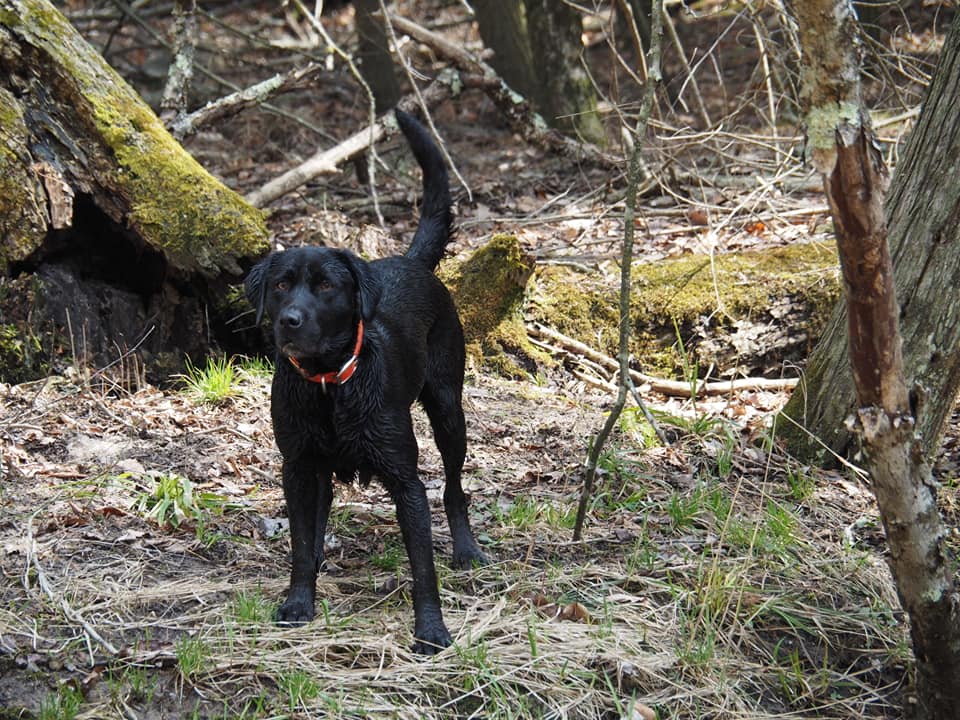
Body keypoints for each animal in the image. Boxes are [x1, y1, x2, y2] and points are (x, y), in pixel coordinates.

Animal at [248, 109, 488, 656]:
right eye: (280, 284)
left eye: (325, 286)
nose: (289, 321)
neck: (327, 385)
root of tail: (412, 261)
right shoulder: (298, 467)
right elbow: (299, 542)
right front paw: (299, 602)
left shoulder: (405, 480)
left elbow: (423, 567)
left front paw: (431, 630)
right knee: (319, 519)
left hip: (449, 410)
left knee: (454, 487)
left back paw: (466, 549)